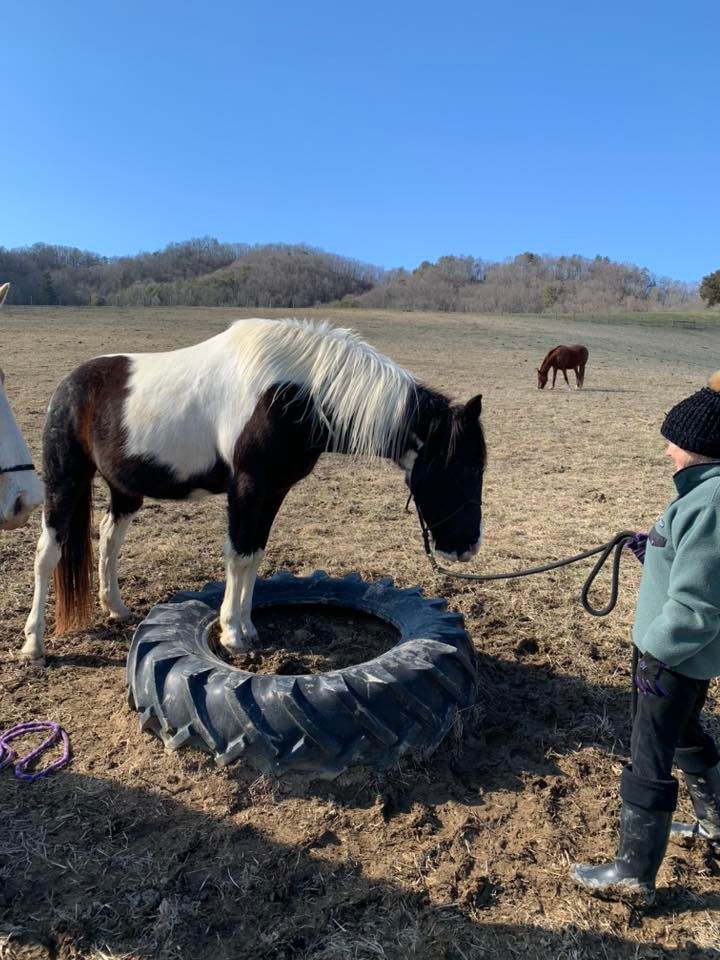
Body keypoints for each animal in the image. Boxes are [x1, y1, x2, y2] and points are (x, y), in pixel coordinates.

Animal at [21, 318, 484, 664]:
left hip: (125, 490)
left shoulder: (274, 490)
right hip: (65, 481)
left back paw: (114, 606)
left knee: (110, 538)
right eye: (463, 467)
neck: (294, 395)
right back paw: (33, 644)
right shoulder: (247, 488)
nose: (467, 548)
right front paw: (232, 634)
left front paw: (247, 627)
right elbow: (239, 555)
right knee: (48, 553)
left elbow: (255, 555)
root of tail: (70, 385)